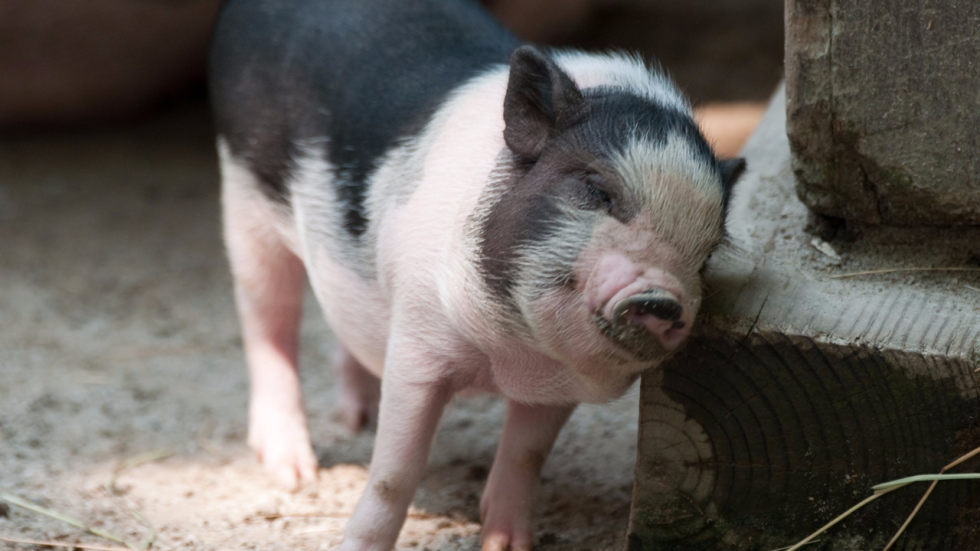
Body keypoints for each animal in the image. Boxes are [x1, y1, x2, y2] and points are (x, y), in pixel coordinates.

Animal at [209, 0, 745, 549]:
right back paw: (294, 473)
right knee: (268, 319)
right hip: (243, 197)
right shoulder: (417, 343)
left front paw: (507, 543)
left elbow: (526, 455)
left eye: (707, 253)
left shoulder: (557, 385)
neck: (505, 355)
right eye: (598, 190)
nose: (662, 299)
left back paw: (358, 419)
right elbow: (394, 473)